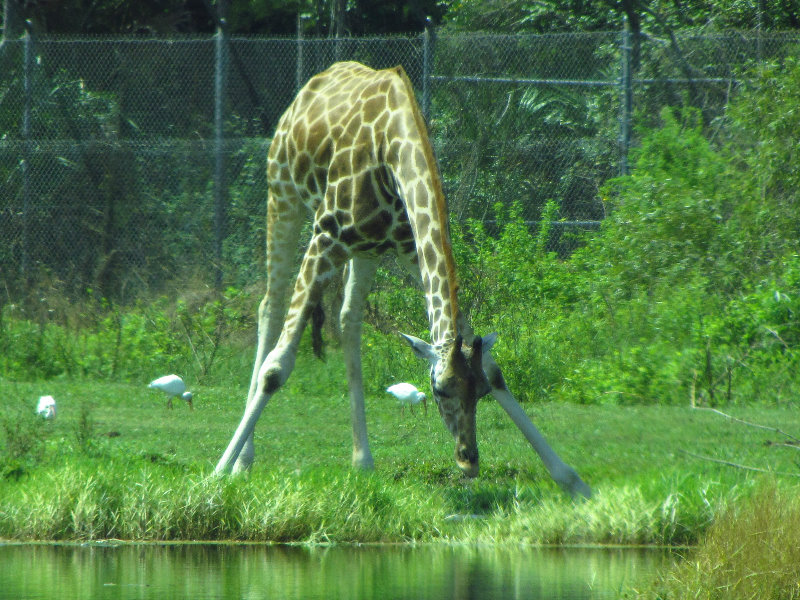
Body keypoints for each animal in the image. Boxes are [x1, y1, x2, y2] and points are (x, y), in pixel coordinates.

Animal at [216, 63, 592, 500]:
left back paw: (362, 462)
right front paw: (216, 475)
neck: (393, 152)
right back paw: (244, 461)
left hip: (365, 249)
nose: (468, 460)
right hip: (283, 196)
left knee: (348, 319)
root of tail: (305, 93)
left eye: (480, 391)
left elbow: (492, 362)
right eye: (440, 389)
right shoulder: (326, 236)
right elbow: (276, 367)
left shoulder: (408, 247)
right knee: (269, 308)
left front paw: (572, 480)